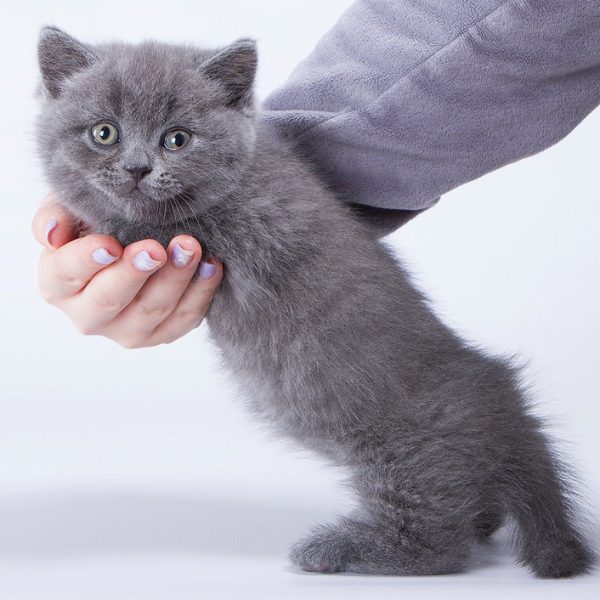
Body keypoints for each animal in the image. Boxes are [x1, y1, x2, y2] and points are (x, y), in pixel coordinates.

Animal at [37, 27, 596, 576]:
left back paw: (339, 549)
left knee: (437, 543)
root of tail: (506, 406)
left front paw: (85, 215)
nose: (136, 168)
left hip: (411, 458)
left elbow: (145, 224)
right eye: (104, 133)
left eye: (177, 139)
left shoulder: (240, 230)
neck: (243, 175)